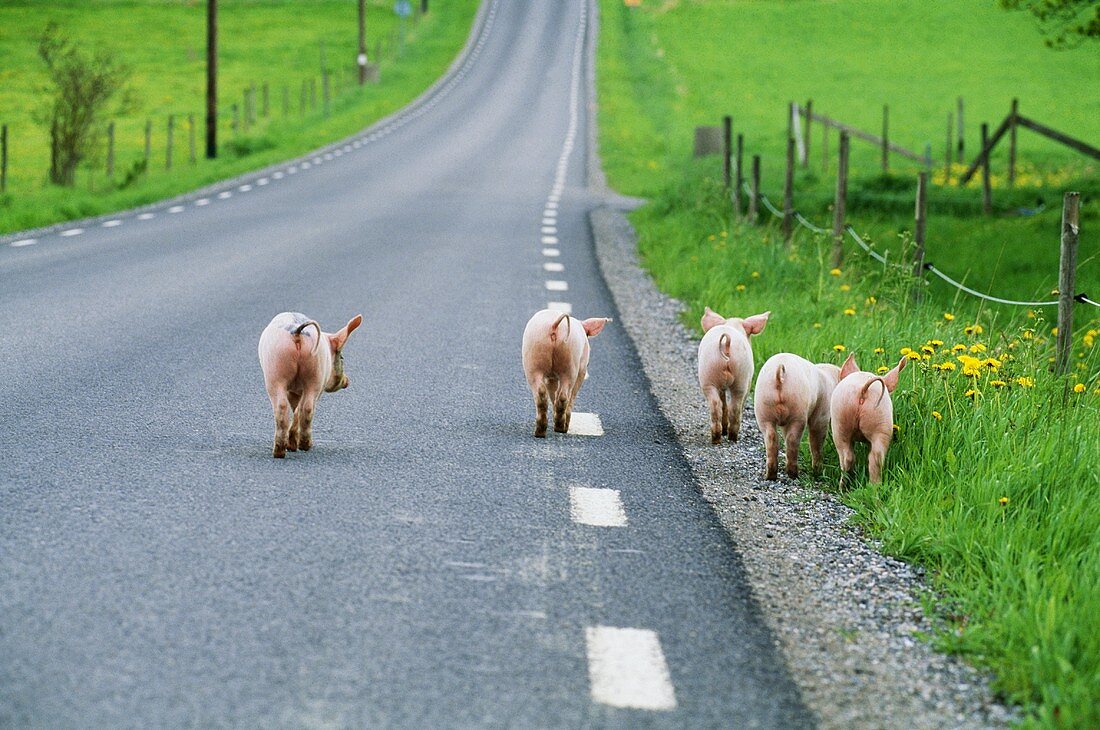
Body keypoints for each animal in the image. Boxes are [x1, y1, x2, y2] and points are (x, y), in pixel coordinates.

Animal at [256, 310, 360, 459]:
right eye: (342, 357)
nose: (347, 381)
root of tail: (297, 332)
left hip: (278, 370)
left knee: (293, 407)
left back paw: (289, 450)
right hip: (308, 372)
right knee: (301, 407)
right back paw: (292, 449)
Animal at [521, 305, 611, 435]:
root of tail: (554, 326)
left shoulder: (550, 376)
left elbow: (552, 390)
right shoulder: (582, 369)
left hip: (533, 356)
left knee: (541, 392)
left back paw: (540, 432)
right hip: (570, 362)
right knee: (565, 395)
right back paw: (562, 428)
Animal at [699, 305, 770, 441]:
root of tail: (726, 344)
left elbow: (723, 401)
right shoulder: (749, 380)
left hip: (708, 373)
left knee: (717, 404)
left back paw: (717, 437)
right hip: (742, 376)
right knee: (736, 406)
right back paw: (733, 437)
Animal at [756, 351, 840, 479]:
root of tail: (779, 372)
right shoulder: (822, 411)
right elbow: (816, 438)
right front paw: (817, 472)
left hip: (763, 407)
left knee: (771, 437)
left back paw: (770, 475)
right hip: (798, 409)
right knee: (793, 438)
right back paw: (794, 474)